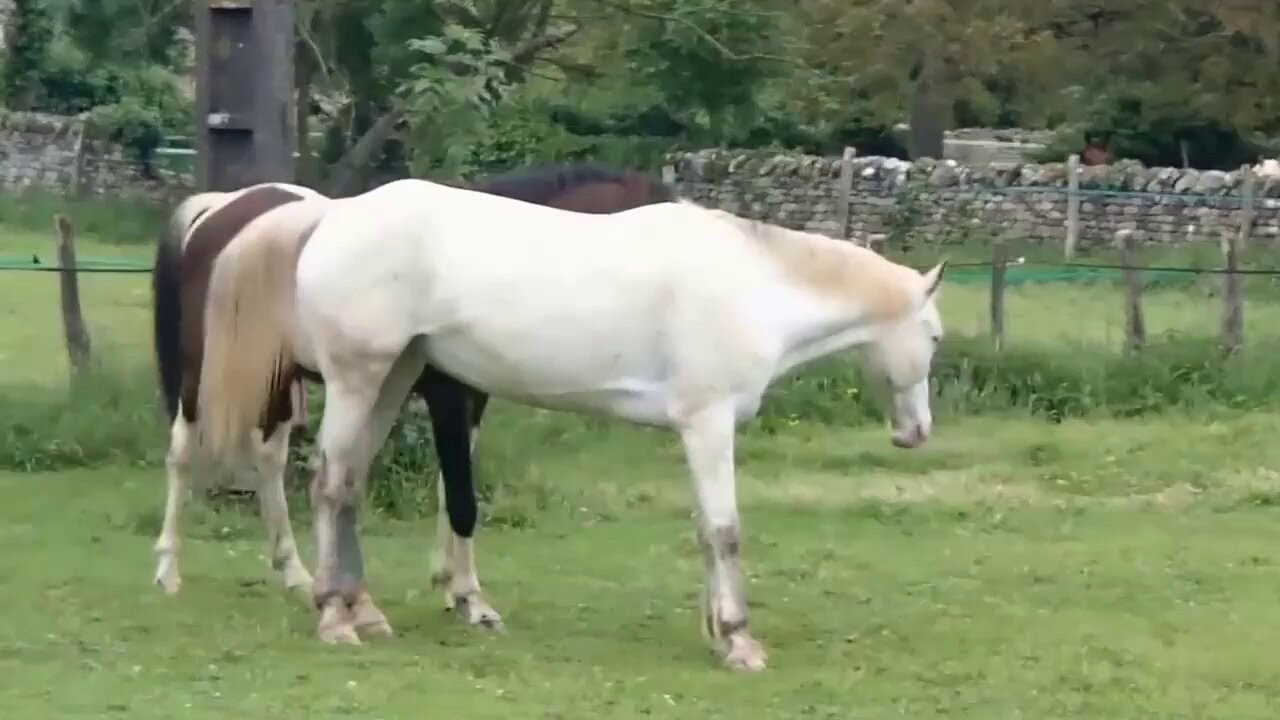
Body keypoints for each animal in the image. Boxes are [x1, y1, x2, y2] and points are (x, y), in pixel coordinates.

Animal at [148, 165, 673, 620]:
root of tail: (220, 208)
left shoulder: (472, 400)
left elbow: (450, 485)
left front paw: (450, 583)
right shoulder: (448, 396)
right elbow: (461, 495)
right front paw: (471, 600)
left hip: (277, 379)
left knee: (268, 458)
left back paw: (297, 574)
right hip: (201, 379)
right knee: (182, 454)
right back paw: (168, 571)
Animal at [191, 176, 947, 672]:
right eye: (934, 337)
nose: (916, 433)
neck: (752, 287)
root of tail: (331, 215)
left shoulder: (696, 431)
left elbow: (705, 532)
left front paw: (716, 631)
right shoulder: (708, 424)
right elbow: (725, 532)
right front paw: (739, 639)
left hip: (392, 380)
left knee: (347, 486)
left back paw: (361, 612)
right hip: (358, 379)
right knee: (328, 486)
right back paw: (332, 618)